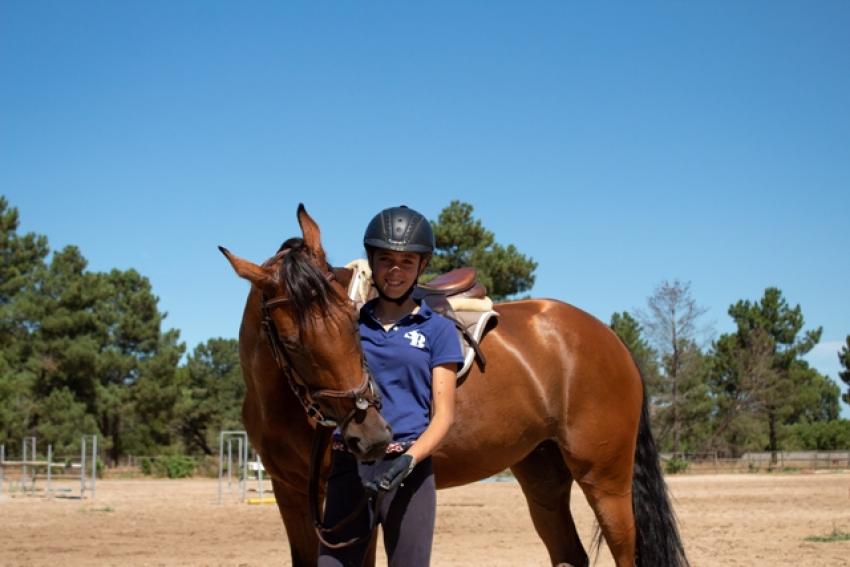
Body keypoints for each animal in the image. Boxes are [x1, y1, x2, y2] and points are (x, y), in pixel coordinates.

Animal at [222, 205, 684, 567]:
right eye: (292, 342)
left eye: (353, 322)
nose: (372, 437)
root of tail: (610, 339)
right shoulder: (291, 494)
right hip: (543, 475)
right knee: (569, 554)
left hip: (605, 479)